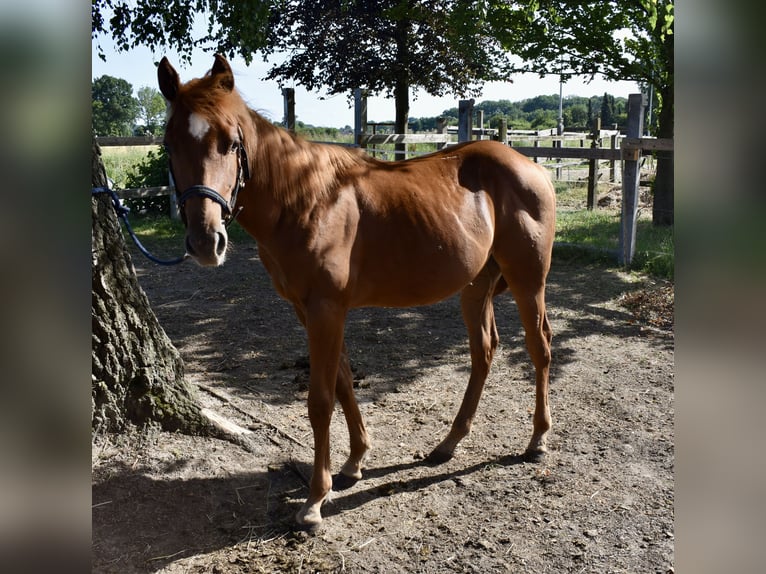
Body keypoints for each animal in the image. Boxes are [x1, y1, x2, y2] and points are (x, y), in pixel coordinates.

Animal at [158, 54, 556, 527]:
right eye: (169, 145)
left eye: (231, 143)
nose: (205, 241)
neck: (307, 200)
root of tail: (532, 166)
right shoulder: (310, 310)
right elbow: (345, 381)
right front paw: (353, 463)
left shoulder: (326, 309)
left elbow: (320, 399)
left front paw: (315, 499)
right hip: (476, 286)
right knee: (484, 351)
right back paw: (448, 443)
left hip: (528, 280)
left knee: (539, 347)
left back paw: (538, 440)